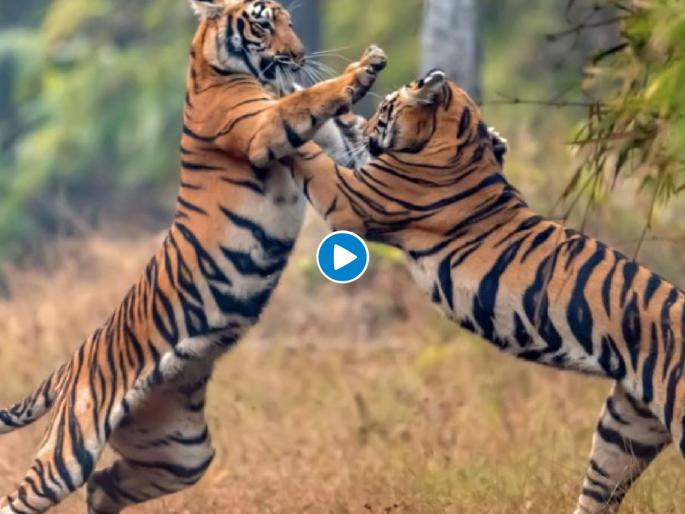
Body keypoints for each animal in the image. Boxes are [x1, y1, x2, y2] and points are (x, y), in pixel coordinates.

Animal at [0, 0, 387, 512]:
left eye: (288, 20)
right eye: (263, 23)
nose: (299, 55)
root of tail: (69, 365)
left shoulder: (337, 149)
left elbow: (346, 130)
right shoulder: (264, 129)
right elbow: (307, 100)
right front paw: (362, 69)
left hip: (181, 452)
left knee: (103, 485)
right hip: (69, 452)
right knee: (27, 495)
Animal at [289, 68, 685, 514]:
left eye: (386, 107)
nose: (369, 124)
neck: (461, 138)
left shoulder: (351, 200)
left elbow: (311, 155)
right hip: (625, 426)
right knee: (599, 492)